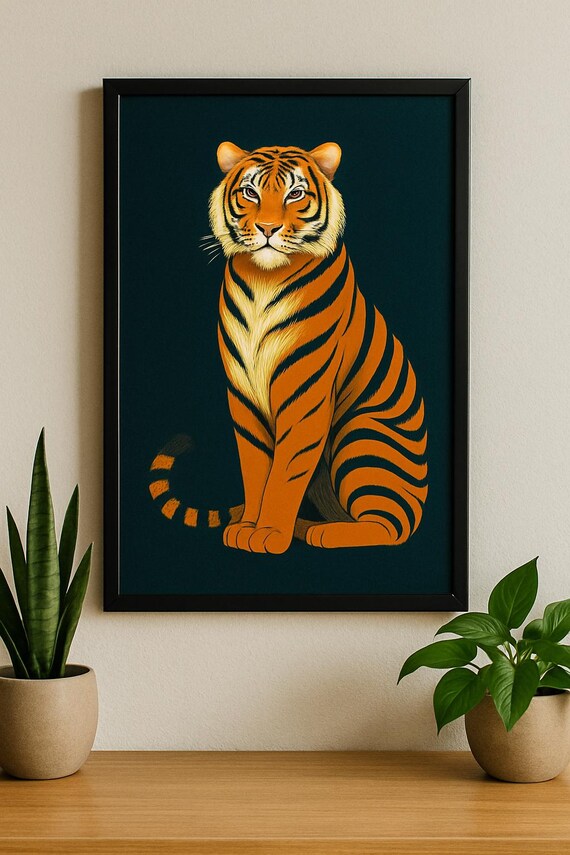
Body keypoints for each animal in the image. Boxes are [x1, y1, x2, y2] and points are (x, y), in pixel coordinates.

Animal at [149, 141, 428, 554]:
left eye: (295, 193)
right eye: (250, 192)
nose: (267, 228)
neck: (263, 280)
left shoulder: (304, 392)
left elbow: (285, 472)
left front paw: (269, 534)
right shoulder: (243, 394)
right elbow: (256, 467)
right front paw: (246, 529)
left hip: (362, 436)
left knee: (393, 527)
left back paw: (321, 532)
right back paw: (305, 525)